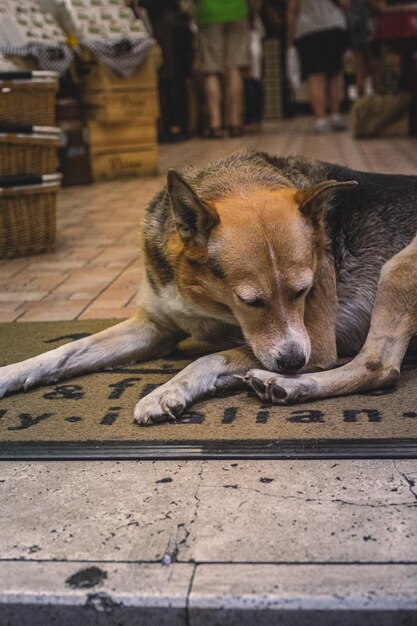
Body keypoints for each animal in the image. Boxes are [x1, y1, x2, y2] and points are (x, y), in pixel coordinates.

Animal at [0, 151, 416, 424]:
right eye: (251, 301)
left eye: (304, 291)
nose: (294, 365)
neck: (206, 299)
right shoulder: (154, 326)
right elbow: (68, 350)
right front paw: (12, 372)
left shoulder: (318, 342)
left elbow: (211, 358)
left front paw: (167, 390)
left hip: (398, 269)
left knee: (378, 368)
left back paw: (288, 386)